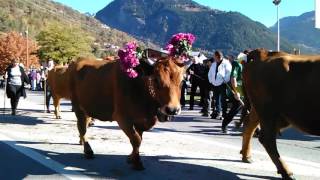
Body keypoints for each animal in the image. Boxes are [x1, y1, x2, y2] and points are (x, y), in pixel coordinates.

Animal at [68, 32, 195, 170]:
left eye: (182, 81)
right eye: (156, 80)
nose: (172, 109)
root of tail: (78, 61)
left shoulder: (141, 120)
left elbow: (139, 139)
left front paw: (132, 158)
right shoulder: (122, 118)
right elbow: (136, 140)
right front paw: (136, 162)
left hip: (86, 108)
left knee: (84, 125)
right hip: (78, 107)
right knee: (81, 127)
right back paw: (87, 150)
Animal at [241, 48, 320, 179]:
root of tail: (264, 54)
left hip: (263, 111)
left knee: (249, 124)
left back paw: (246, 156)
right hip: (268, 112)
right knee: (267, 139)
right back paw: (287, 172)